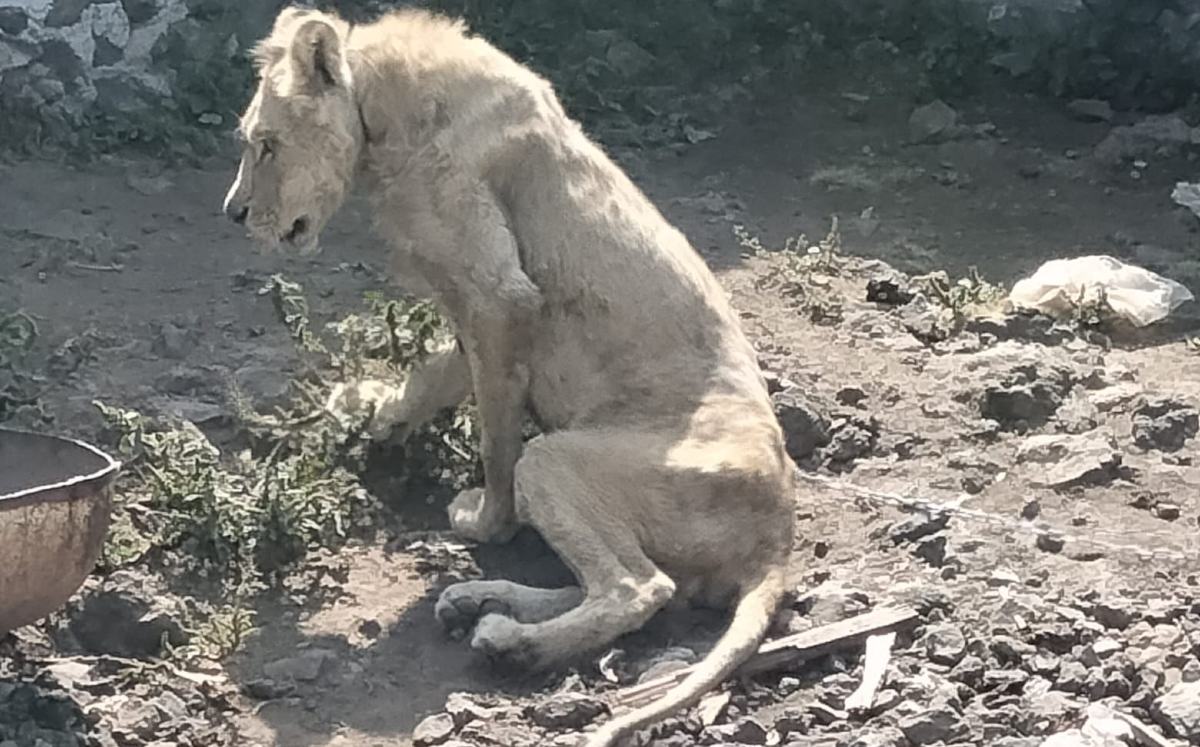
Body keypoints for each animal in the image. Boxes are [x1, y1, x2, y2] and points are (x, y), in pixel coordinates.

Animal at [222, 7, 796, 746]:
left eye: (266, 146)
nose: (234, 213)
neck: (383, 111)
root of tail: (778, 534)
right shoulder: (471, 303)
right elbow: (434, 374)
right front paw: (370, 410)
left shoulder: (499, 296)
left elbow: (494, 439)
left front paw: (485, 522)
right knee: (636, 584)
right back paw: (479, 602)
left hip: (555, 459)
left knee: (638, 589)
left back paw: (510, 641)